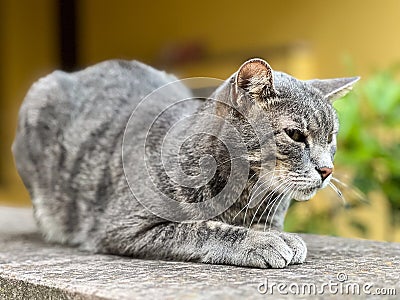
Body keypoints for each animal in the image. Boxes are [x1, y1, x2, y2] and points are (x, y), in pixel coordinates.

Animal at [12, 58, 358, 268]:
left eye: (331, 137)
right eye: (295, 134)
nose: (327, 170)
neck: (243, 194)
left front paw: (278, 236)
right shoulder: (127, 225)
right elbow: (203, 230)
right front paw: (260, 241)